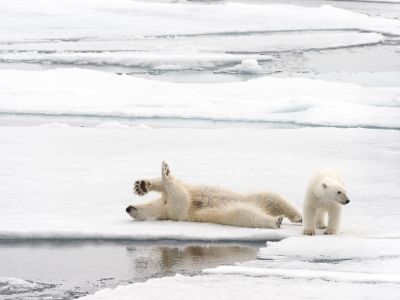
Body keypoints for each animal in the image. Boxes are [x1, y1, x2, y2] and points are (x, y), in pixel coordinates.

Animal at [126, 162, 302, 230]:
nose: (127, 208)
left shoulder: (179, 196)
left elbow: (173, 187)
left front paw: (141, 186)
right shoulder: (177, 211)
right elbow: (180, 196)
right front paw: (164, 171)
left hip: (252, 197)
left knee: (272, 197)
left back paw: (298, 217)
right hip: (236, 211)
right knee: (246, 213)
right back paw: (276, 221)